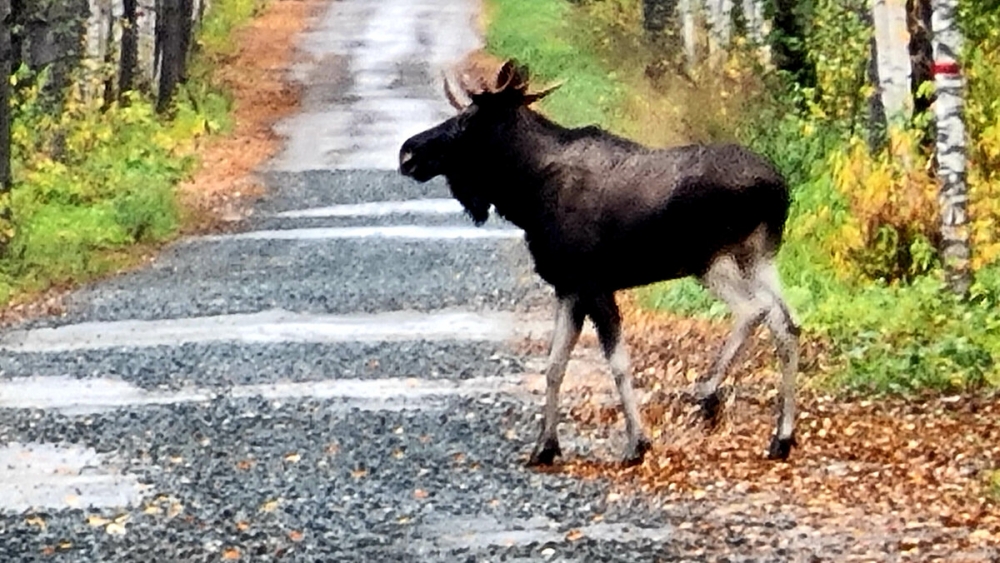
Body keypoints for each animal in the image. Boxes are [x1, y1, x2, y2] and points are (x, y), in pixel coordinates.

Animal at [396, 54, 796, 468]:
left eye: (467, 120)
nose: (408, 152)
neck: (525, 194)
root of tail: (778, 188)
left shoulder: (594, 284)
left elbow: (618, 364)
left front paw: (637, 443)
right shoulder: (568, 287)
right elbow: (554, 366)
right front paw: (545, 446)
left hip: (712, 258)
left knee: (755, 311)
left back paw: (707, 392)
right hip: (759, 257)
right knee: (786, 323)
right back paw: (781, 438)